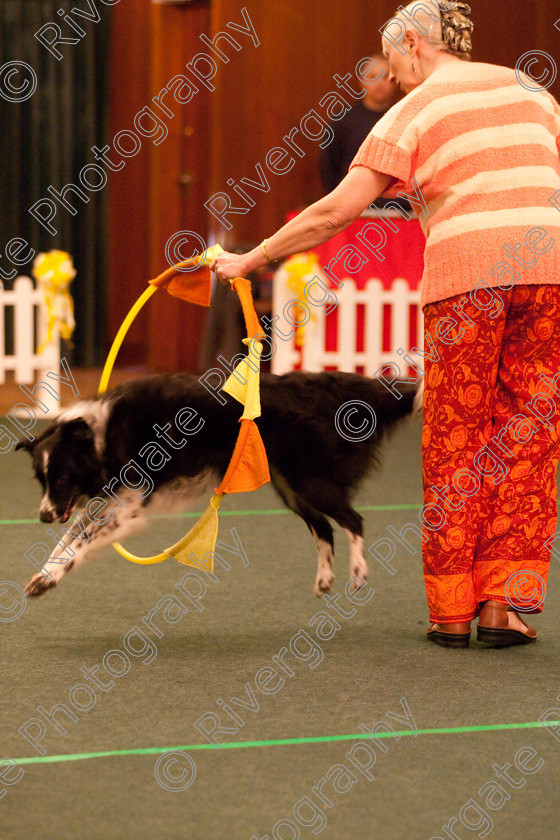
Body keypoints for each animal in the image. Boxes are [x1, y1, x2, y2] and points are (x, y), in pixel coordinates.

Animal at [16, 370, 416, 592]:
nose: (43, 516)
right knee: (324, 528)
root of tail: (314, 389)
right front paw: (43, 575)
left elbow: (80, 544)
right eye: (41, 478)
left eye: (63, 476)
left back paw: (358, 572)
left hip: (309, 481)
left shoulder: (129, 509)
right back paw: (324, 580)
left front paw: (50, 578)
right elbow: (66, 542)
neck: (101, 435)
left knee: (353, 520)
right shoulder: (107, 504)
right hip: (291, 488)